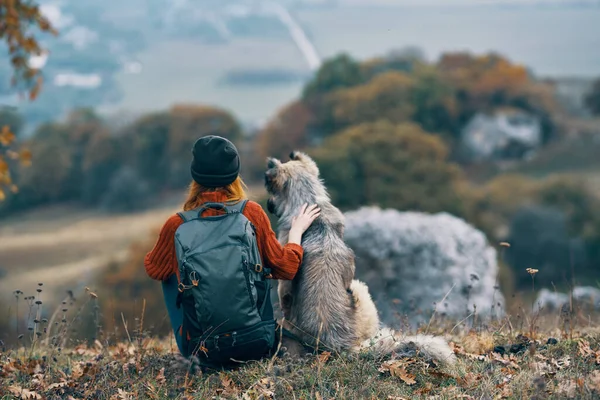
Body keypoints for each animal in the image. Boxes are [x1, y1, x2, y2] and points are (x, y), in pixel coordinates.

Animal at [264, 152, 458, 364]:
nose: (268, 204)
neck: (309, 201)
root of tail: (340, 345)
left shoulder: (285, 280)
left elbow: (285, 298)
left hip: (360, 289)